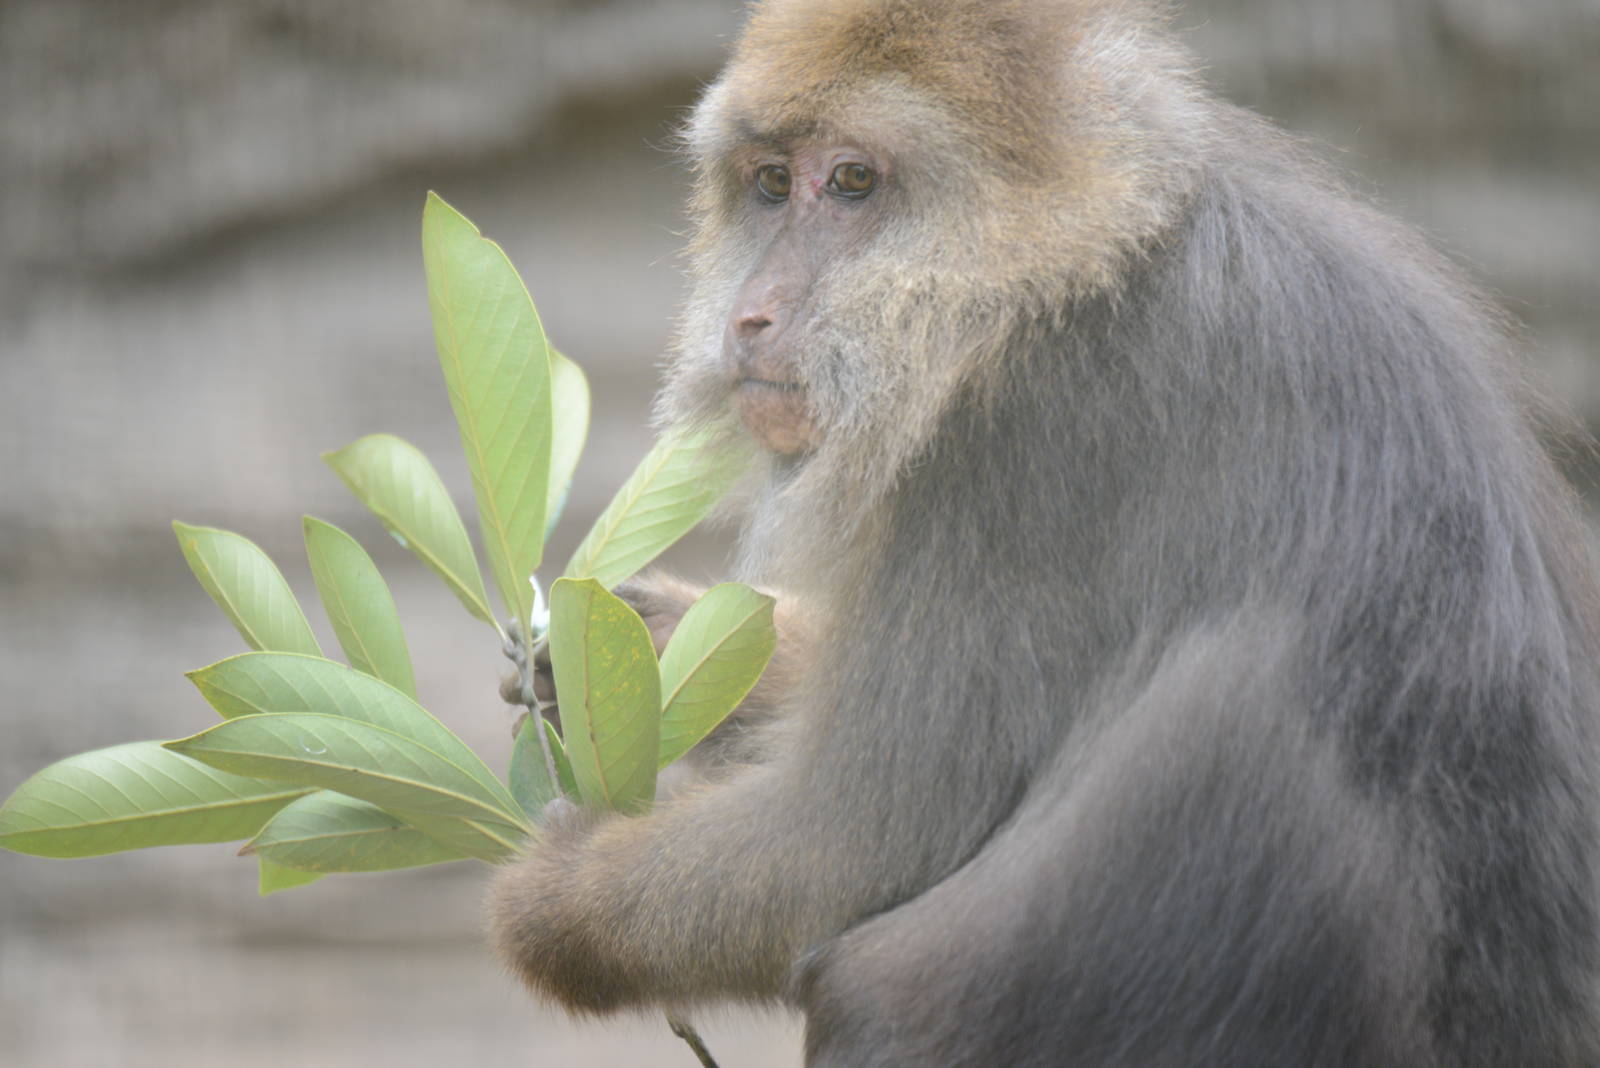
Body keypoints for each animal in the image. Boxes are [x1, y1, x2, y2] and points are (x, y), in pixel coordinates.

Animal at [489, 0, 1600, 1064]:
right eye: (771, 185)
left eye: (851, 183)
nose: (753, 314)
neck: (1073, 274)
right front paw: (666, 642)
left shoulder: (1006, 439)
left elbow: (858, 840)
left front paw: (552, 898)